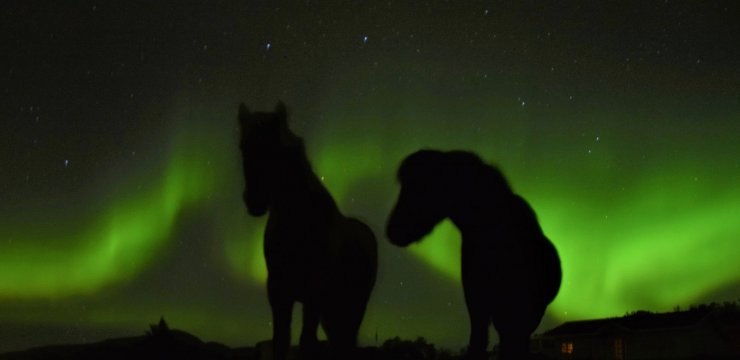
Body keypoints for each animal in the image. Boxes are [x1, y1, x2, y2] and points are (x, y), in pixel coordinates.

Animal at [237, 102, 376, 360]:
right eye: (243, 147)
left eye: (275, 149)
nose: (254, 201)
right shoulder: (279, 293)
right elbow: (281, 341)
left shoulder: (314, 296)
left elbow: (306, 343)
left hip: (352, 308)